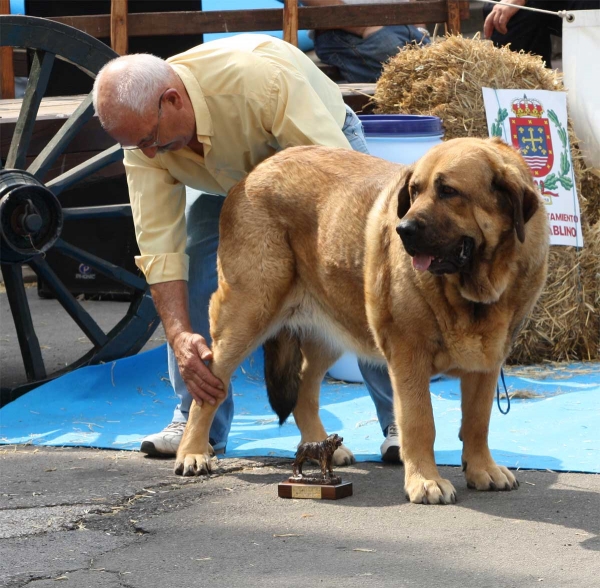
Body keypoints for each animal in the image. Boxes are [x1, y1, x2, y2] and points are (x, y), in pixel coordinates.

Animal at [173, 139, 548, 506]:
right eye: (414, 191)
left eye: (449, 191)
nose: (403, 229)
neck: (474, 289)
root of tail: (251, 174)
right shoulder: (409, 355)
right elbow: (420, 422)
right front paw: (425, 481)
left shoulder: (487, 362)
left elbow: (477, 421)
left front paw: (482, 469)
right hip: (248, 312)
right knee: (210, 389)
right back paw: (193, 453)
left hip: (331, 327)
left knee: (304, 388)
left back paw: (319, 446)